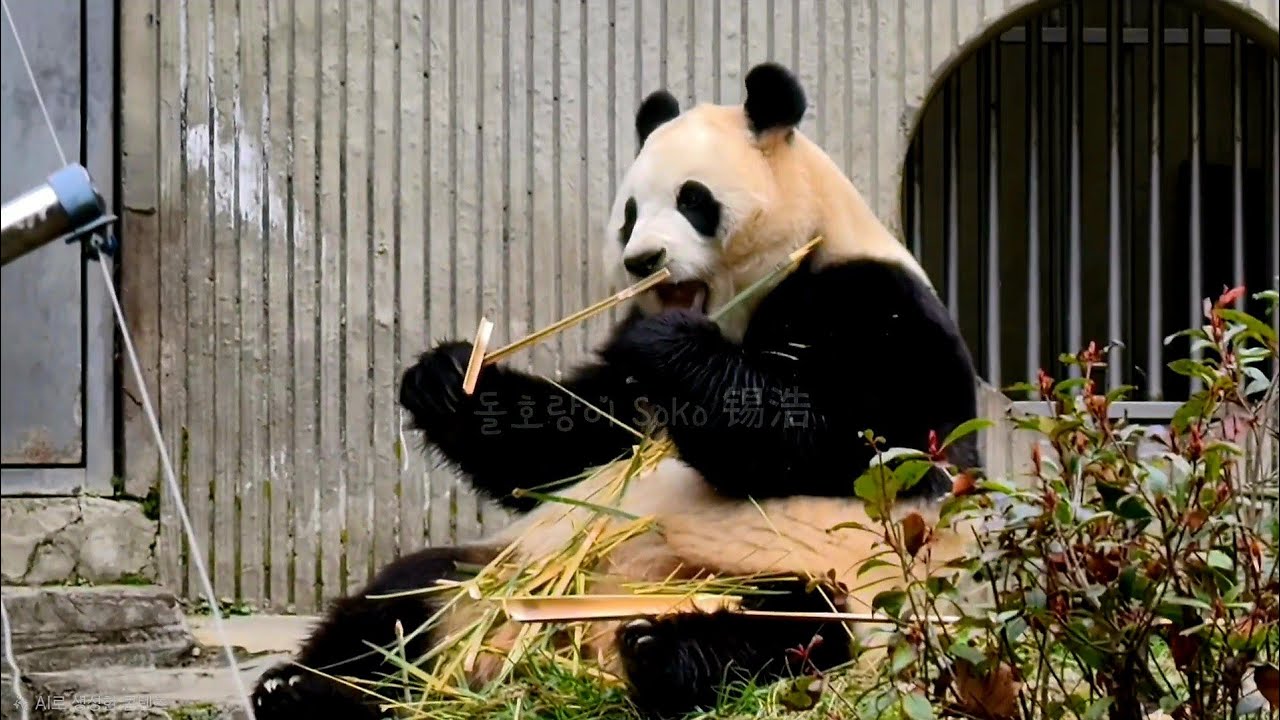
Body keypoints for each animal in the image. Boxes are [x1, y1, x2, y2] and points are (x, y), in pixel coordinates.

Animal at [252, 62, 982, 719]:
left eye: (693, 199)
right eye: (630, 212)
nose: (642, 261)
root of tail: (573, 648)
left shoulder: (874, 305)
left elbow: (861, 447)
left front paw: (667, 343)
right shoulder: (620, 399)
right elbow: (574, 443)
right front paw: (447, 377)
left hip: (849, 589)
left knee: (791, 628)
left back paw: (662, 654)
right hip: (498, 575)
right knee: (403, 600)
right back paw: (301, 691)